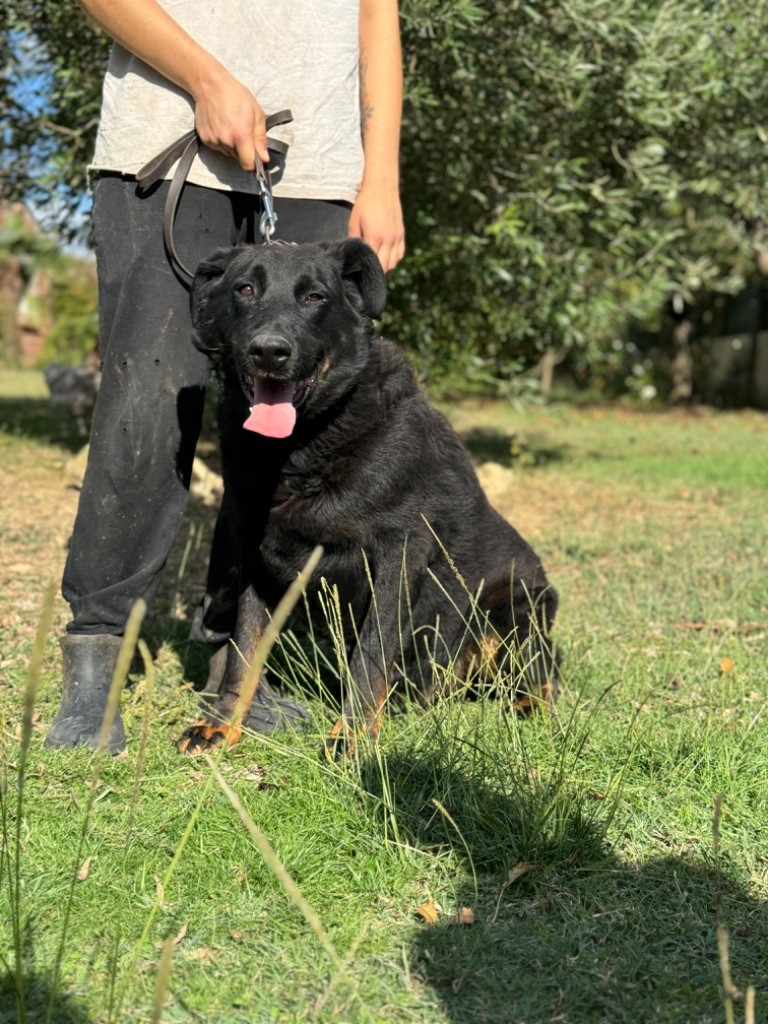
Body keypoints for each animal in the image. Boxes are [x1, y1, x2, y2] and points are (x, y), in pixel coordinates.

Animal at [180, 237, 561, 753]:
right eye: (244, 289)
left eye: (315, 297)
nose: (269, 352)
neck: (304, 448)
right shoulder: (255, 555)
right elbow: (244, 648)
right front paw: (221, 722)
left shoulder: (398, 553)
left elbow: (372, 652)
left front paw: (353, 736)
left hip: (517, 609)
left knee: (542, 673)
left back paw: (527, 705)